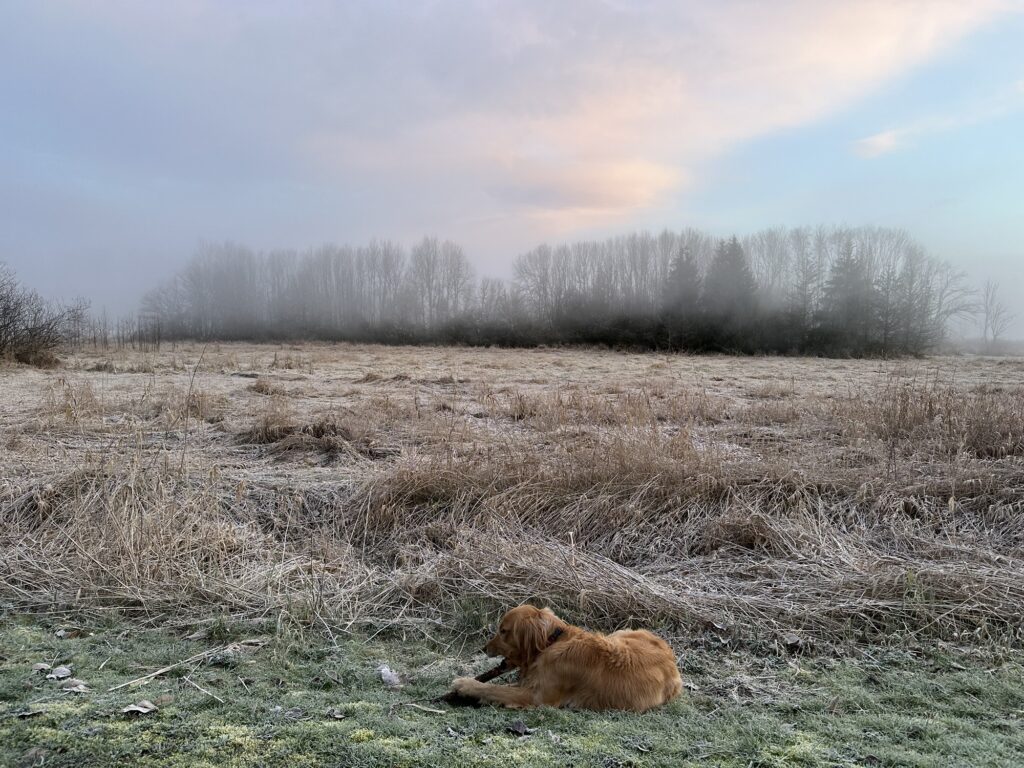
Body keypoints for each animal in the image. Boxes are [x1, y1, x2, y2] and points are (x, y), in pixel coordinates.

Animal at [450, 606, 679, 712]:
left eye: (503, 631)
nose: (484, 648)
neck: (551, 642)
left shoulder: (538, 697)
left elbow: (495, 688)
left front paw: (465, 684)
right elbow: (504, 686)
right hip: (621, 633)